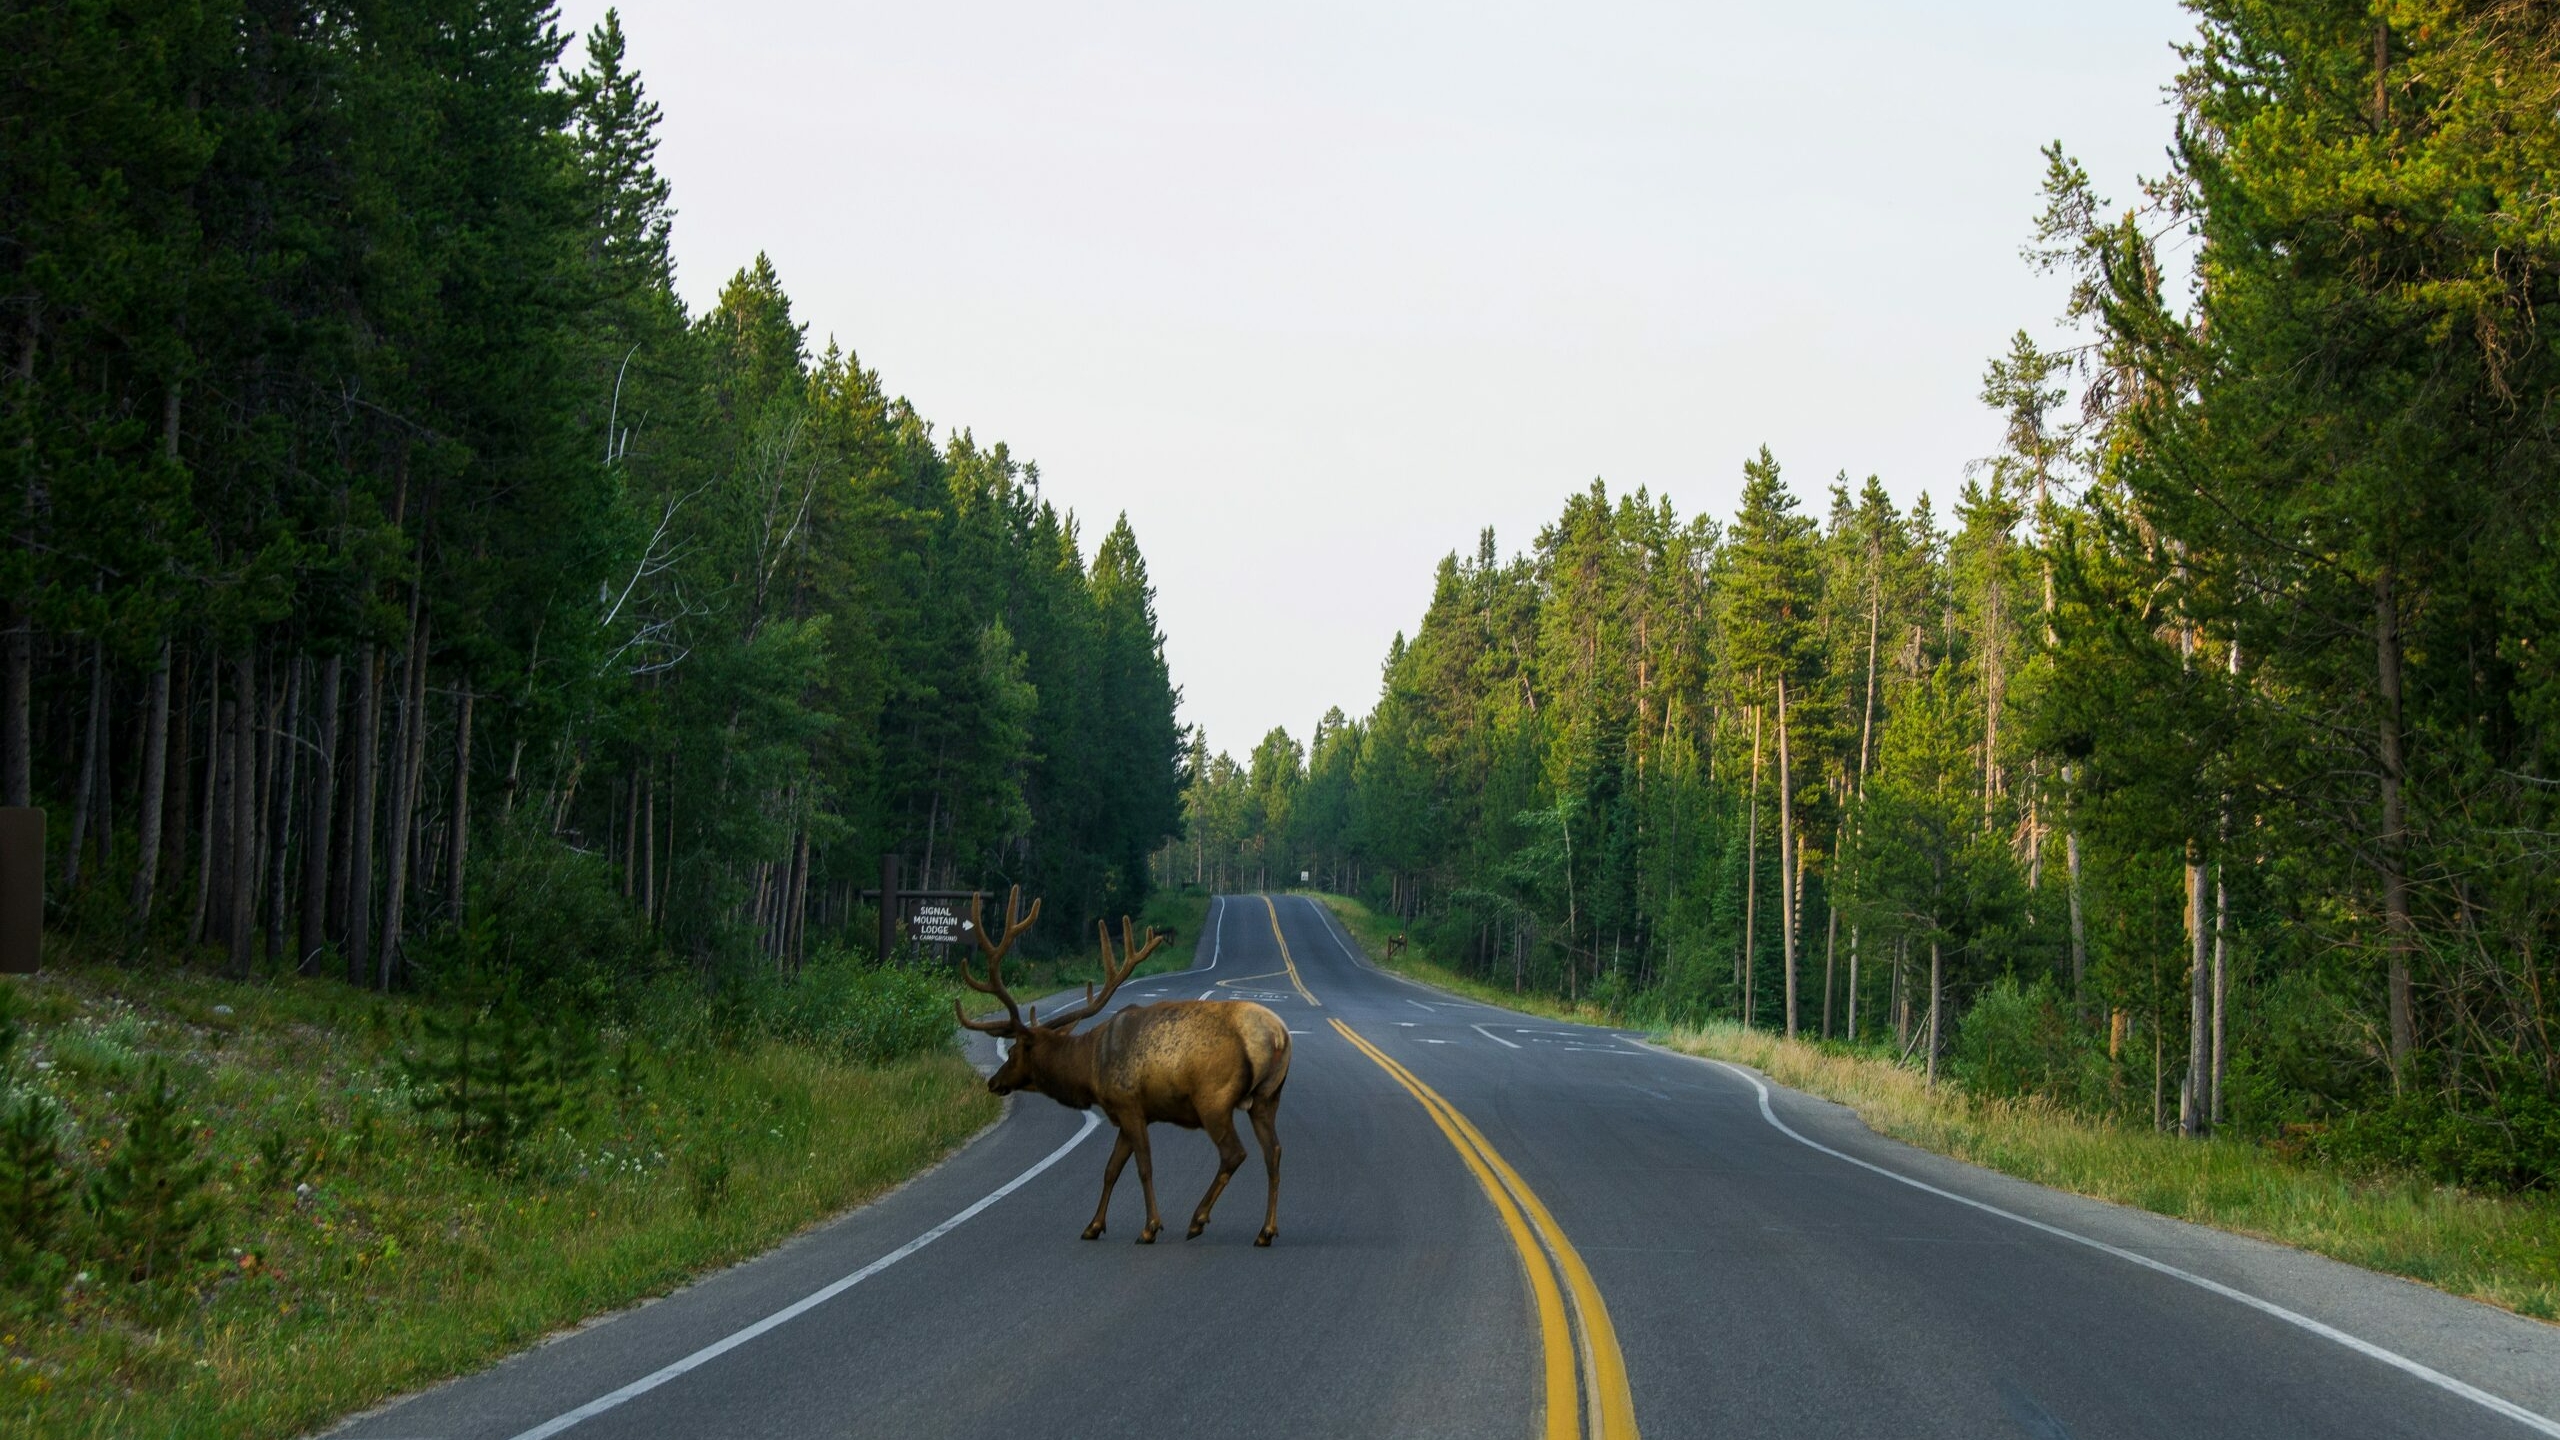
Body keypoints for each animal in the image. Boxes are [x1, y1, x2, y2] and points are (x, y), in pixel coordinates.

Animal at [957, 881, 1290, 1240]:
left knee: (1234, 1153)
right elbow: (1111, 1169)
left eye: (1015, 1051)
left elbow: (1143, 1167)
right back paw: (1266, 1230)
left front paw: (1150, 1226)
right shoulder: (1127, 1113)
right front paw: (1093, 1225)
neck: (1089, 1070)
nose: (994, 1081)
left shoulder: (1129, 1104)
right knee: (1273, 1152)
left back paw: (1198, 1219)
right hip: (1267, 1098)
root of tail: (1277, 1036)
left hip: (1214, 1098)